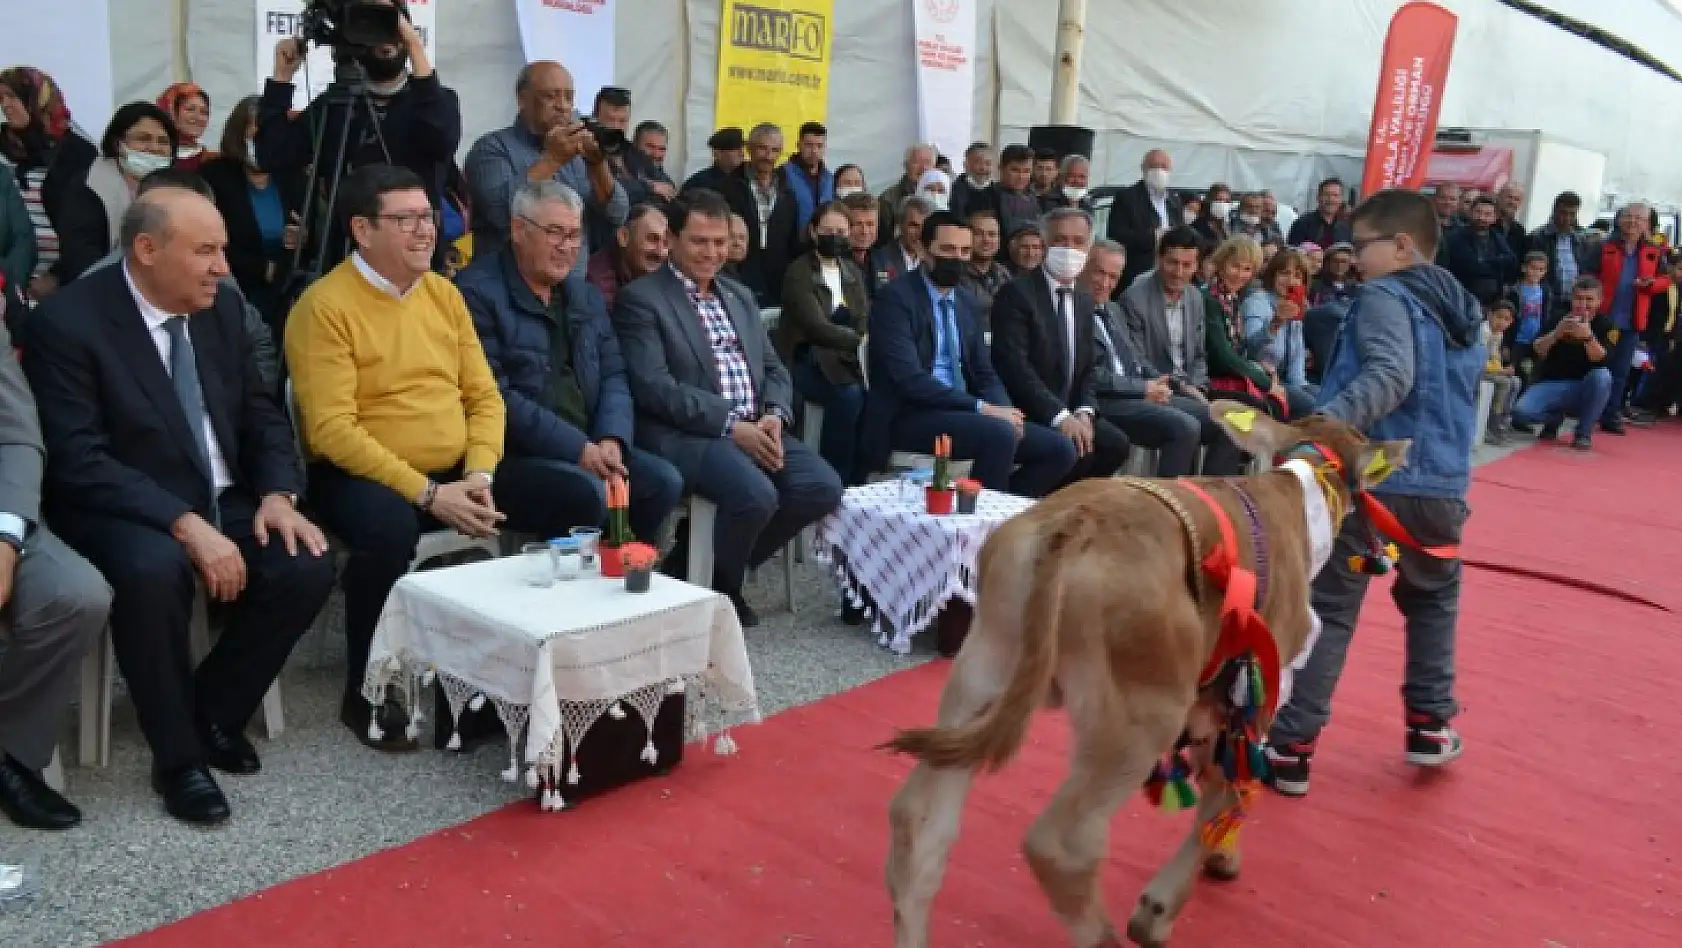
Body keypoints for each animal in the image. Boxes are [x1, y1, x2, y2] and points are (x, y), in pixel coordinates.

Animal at [881, 403, 1406, 941]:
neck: (1296, 489)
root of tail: (1074, 523)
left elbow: (1218, 781)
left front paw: (1220, 857)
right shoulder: (1259, 686)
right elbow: (1227, 791)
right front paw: (1165, 906)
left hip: (984, 670)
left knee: (919, 822)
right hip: (1142, 712)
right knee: (1062, 845)